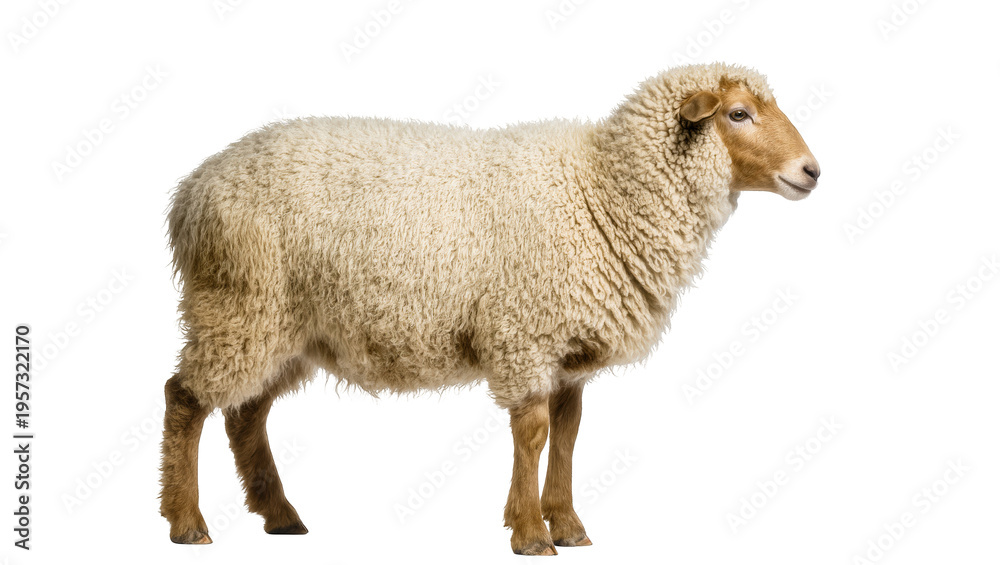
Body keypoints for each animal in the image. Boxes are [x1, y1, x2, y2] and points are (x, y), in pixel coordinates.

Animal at [159, 62, 820, 555]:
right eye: (738, 114)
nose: (812, 171)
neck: (603, 192)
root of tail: (190, 193)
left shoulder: (567, 350)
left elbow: (568, 435)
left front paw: (567, 525)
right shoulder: (523, 333)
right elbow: (532, 433)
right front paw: (529, 532)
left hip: (282, 328)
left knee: (246, 414)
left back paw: (280, 515)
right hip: (239, 304)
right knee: (185, 399)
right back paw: (187, 521)